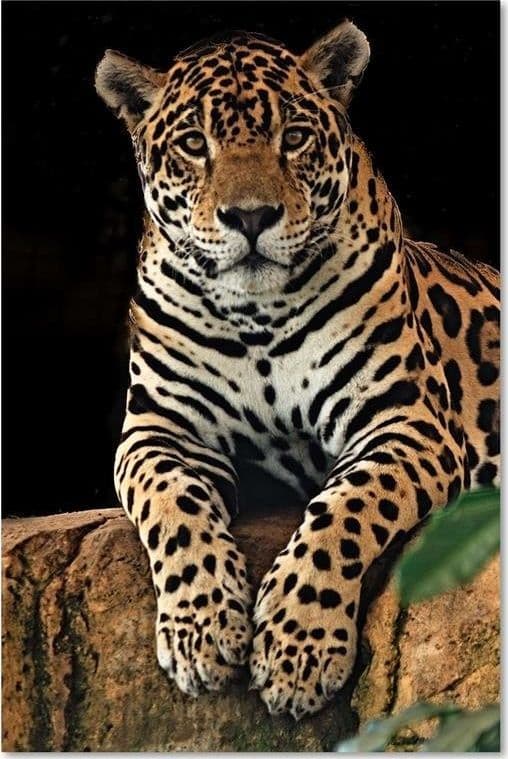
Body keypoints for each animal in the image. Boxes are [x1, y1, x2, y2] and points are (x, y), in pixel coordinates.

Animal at [95, 19, 500, 720]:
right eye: (195, 145)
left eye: (293, 138)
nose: (251, 217)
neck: (256, 314)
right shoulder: (160, 429)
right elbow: (172, 503)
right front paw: (202, 631)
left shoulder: (405, 422)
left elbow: (347, 509)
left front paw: (298, 646)